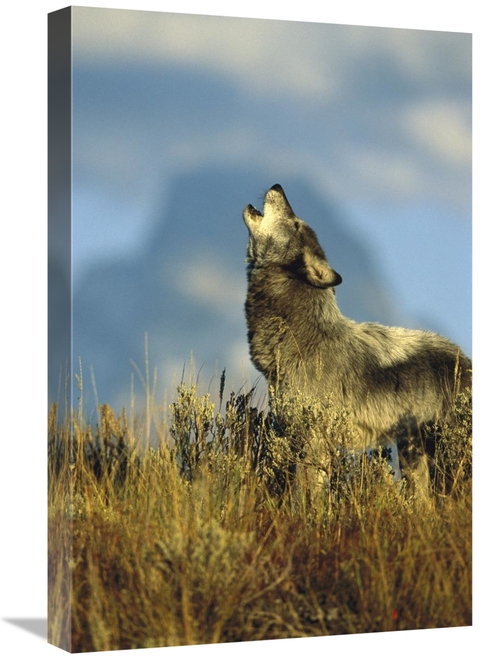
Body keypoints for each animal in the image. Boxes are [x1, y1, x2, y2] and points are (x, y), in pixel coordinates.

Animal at [243, 184, 472, 496]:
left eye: (296, 223)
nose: (278, 186)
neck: (304, 338)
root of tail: (466, 360)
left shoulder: (314, 439)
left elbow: (307, 495)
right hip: (413, 453)